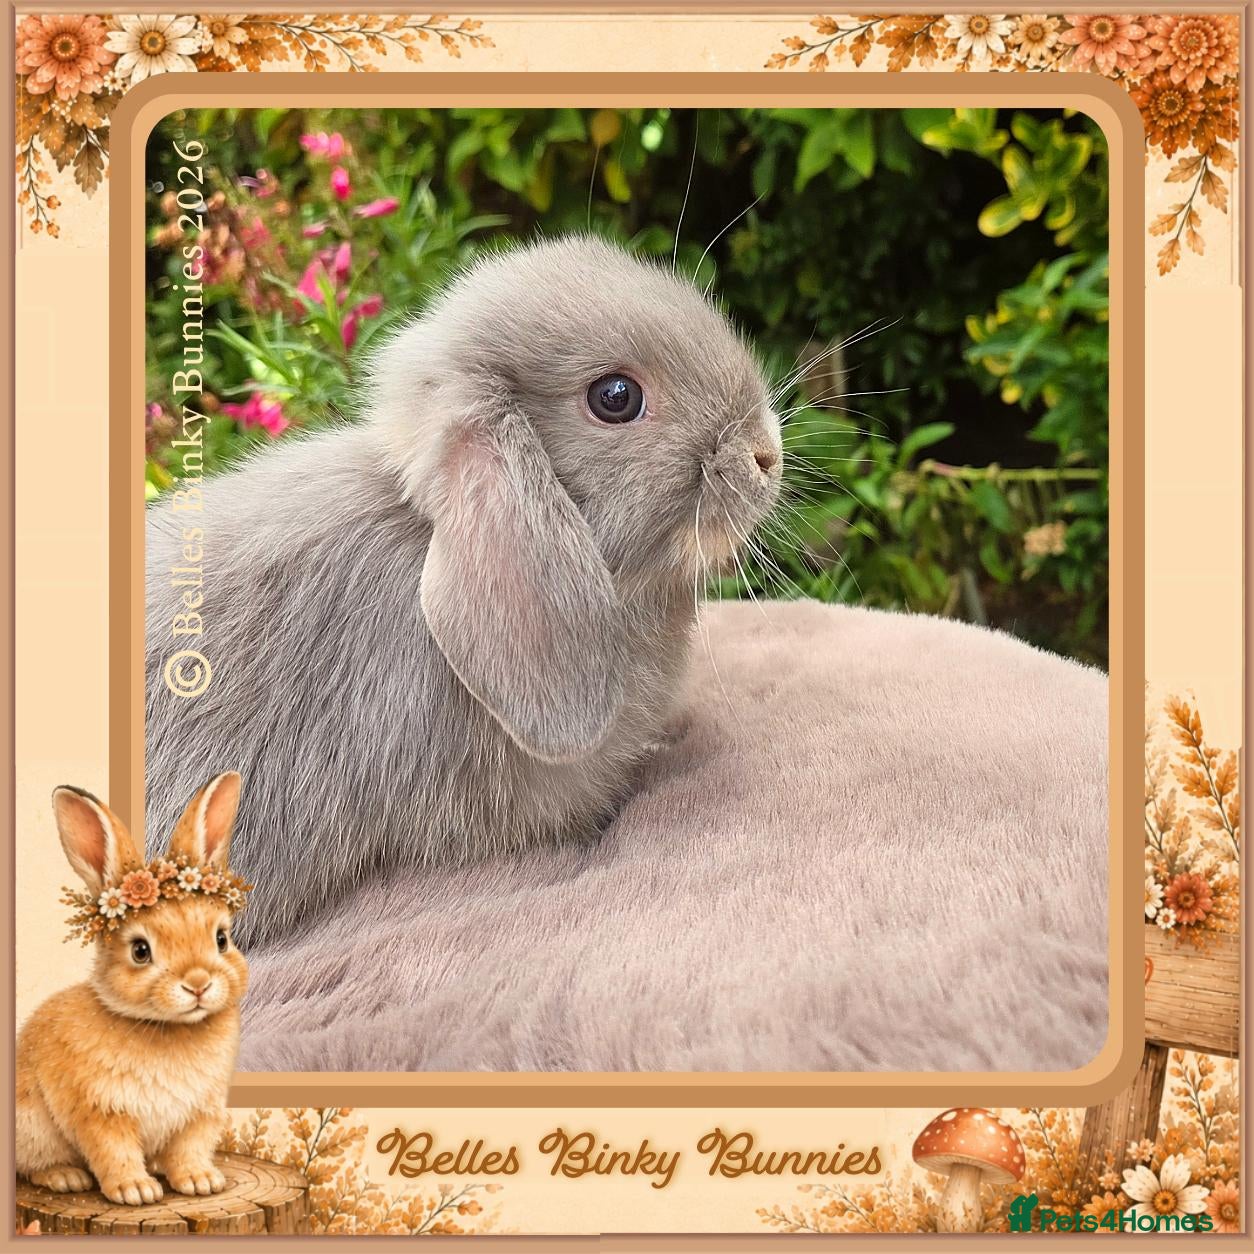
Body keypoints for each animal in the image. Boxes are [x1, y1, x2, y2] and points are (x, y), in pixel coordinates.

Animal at [16, 774, 248, 1205]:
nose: (198, 984)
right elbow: (115, 1151)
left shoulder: (200, 1114)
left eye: (222, 939)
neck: (168, 1029)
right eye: (141, 951)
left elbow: (190, 1149)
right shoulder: (101, 1112)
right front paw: (135, 1191)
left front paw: (201, 1182)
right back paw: (65, 1177)